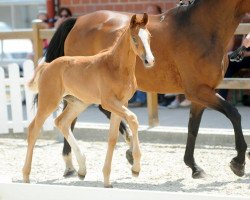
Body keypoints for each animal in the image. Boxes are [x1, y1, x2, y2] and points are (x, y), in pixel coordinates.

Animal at [22, 14, 154, 188]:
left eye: (149, 37)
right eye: (134, 37)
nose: (149, 60)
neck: (116, 66)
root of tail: (48, 65)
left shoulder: (121, 103)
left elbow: (112, 138)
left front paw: (107, 180)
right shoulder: (109, 102)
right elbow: (133, 119)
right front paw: (136, 168)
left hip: (78, 103)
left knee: (62, 122)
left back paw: (82, 169)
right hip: (49, 101)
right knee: (33, 129)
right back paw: (26, 176)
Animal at [45, 0, 250, 178]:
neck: (201, 28)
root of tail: (78, 21)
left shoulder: (202, 93)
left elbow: (193, 128)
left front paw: (194, 167)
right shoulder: (198, 90)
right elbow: (234, 114)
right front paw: (238, 163)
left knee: (92, 111)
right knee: (74, 117)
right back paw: (73, 164)